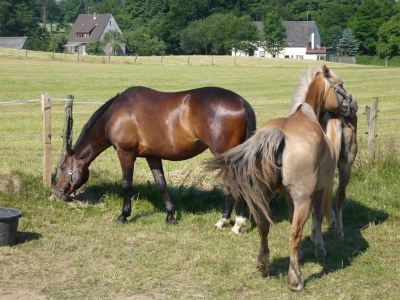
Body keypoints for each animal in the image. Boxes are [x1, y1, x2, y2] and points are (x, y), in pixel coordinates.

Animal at [52, 85, 256, 224]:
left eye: (62, 167)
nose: (57, 193)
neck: (114, 115)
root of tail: (240, 101)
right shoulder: (153, 156)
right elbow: (161, 184)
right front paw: (170, 216)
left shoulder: (125, 154)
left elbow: (127, 184)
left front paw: (124, 215)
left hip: (224, 155)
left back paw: (226, 221)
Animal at [206, 66, 356, 290]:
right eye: (341, 85)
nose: (354, 105)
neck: (306, 114)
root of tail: (280, 136)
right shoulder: (317, 190)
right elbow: (318, 217)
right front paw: (319, 249)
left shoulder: (286, 195)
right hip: (303, 198)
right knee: (294, 232)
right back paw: (295, 279)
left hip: (264, 194)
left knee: (263, 225)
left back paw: (263, 263)